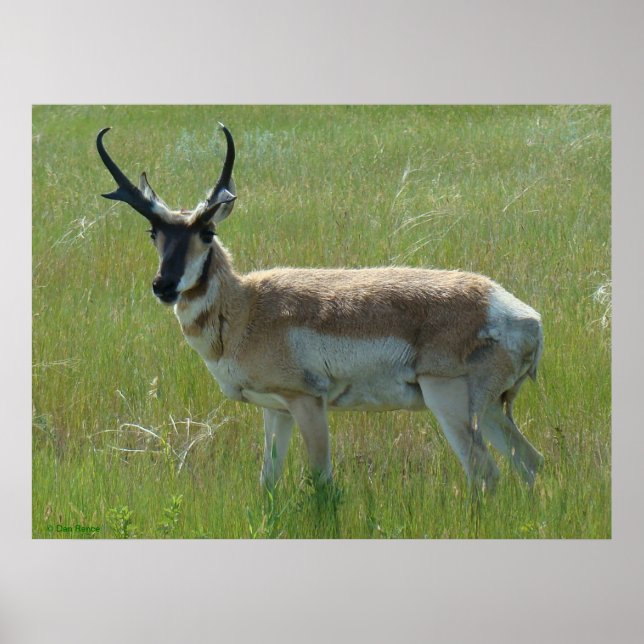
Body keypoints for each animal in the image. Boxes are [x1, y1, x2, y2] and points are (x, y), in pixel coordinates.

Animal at [96, 124, 544, 492]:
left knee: (485, 473)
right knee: (529, 461)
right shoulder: (275, 410)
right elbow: (268, 482)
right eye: (153, 231)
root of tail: (524, 316)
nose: (163, 286)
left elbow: (322, 481)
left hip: (449, 402)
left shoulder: (307, 402)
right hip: (490, 409)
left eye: (207, 232)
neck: (247, 307)